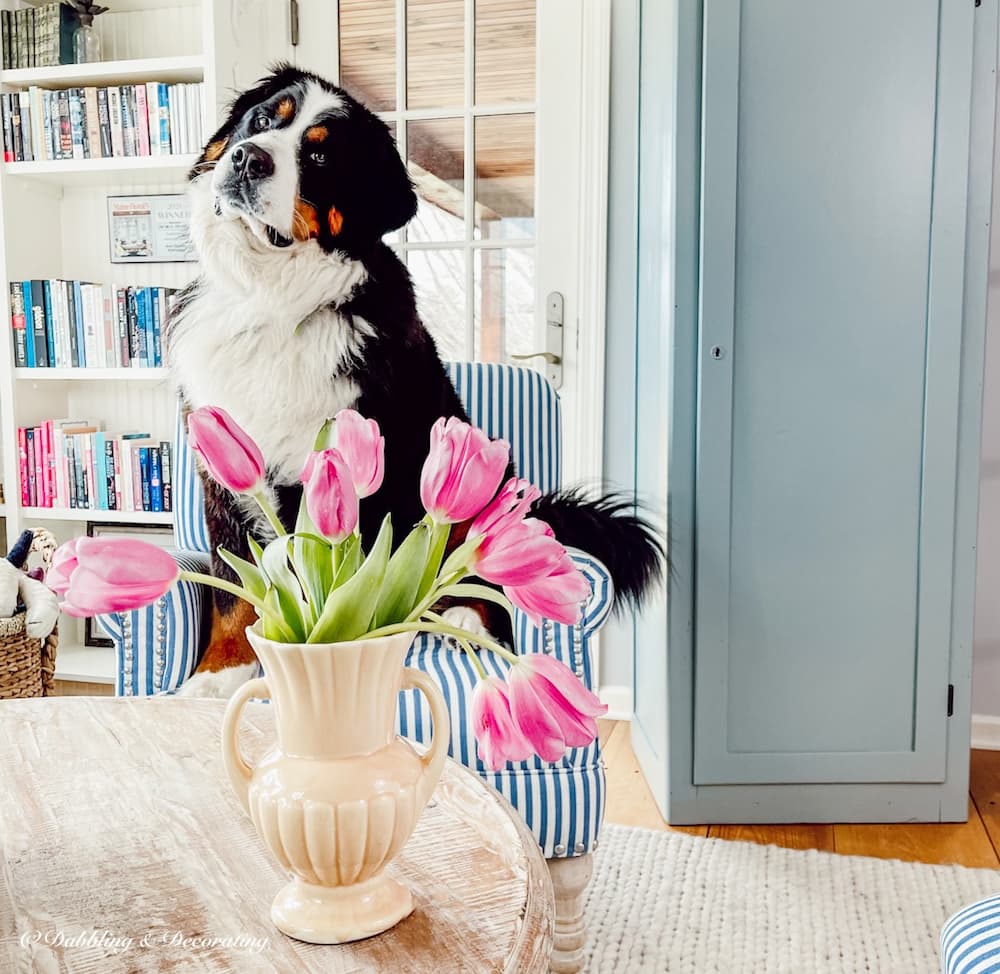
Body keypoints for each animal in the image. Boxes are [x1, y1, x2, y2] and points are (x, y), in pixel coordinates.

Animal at [166, 65, 664, 696]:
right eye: (262, 120)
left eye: (320, 156)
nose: (248, 159)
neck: (269, 299)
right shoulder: (223, 471)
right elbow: (234, 590)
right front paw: (217, 675)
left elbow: (348, 579)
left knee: (476, 574)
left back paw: (459, 617)